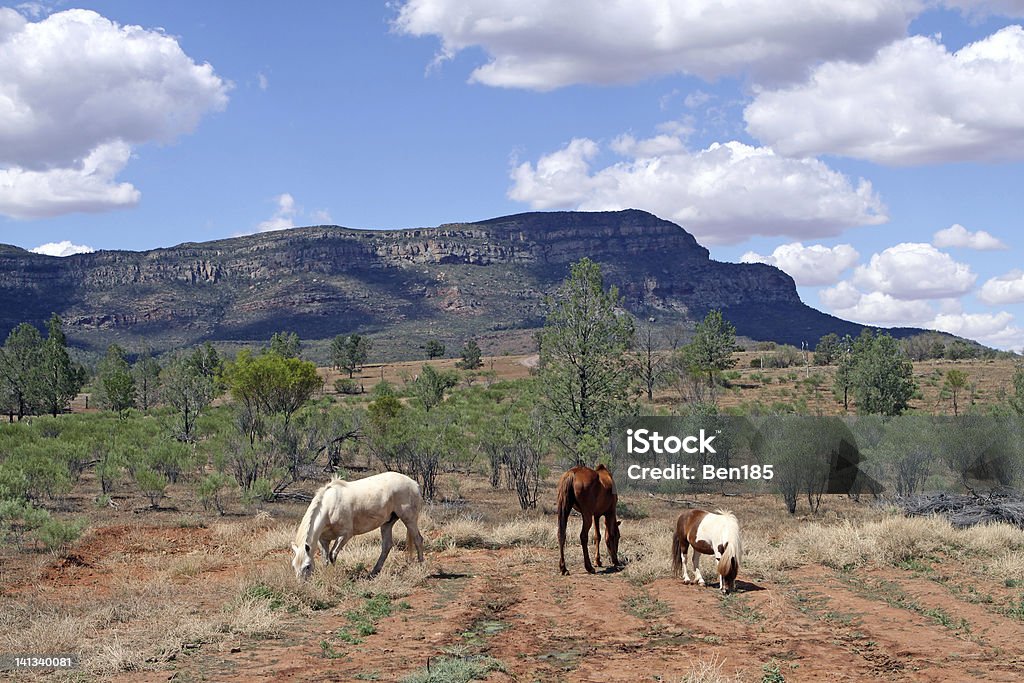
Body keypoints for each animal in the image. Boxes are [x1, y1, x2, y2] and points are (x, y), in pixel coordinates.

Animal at [292, 473, 423, 581]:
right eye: (294, 565)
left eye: (307, 566)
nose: (301, 584)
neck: (329, 508)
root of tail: (414, 484)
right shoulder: (323, 539)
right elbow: (325, 559)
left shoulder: (345, 535)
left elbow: (332, 555)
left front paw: (333, 574)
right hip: (387, 523)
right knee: (386, 546)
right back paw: (373, 573)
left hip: (409, 519)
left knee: (418, 539)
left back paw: (421, 565)